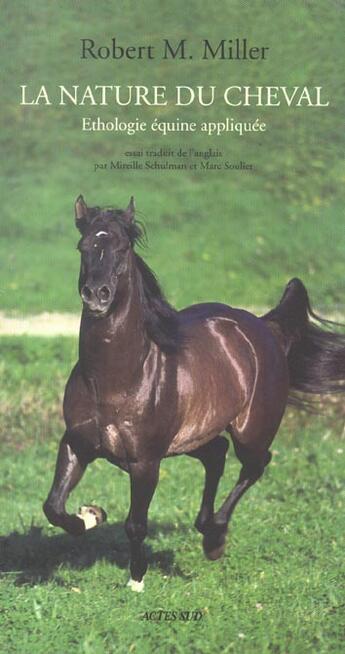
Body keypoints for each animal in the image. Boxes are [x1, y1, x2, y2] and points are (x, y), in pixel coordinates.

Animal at [43, 197, 344, 592]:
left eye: (122, 249)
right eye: (84, 247)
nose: (96, 295)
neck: (115, 378)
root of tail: (264, 328)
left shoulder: (145, 462)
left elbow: (135, 524)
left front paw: (136, 580)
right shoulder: (77, 444)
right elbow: (54, 507)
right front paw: (92, 514)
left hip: (252, 431)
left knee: (254, 464)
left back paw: (215, 539)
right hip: (191, 437)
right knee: (216, 453)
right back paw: (205, 528)